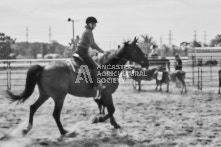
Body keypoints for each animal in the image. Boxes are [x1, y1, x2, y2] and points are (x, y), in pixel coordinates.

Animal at [6, 37, 149, 136]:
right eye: (137, 49)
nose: (146, 62)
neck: (108, 67)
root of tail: (43, 67)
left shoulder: (105, 95)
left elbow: (109, 109)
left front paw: (115, 124)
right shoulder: (107, 94)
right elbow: (111, 110)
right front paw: (98, 119)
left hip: (45, 95)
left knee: (33, 107)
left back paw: (27, 129)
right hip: (59, 97)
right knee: (55, 114)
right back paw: (63, 131)